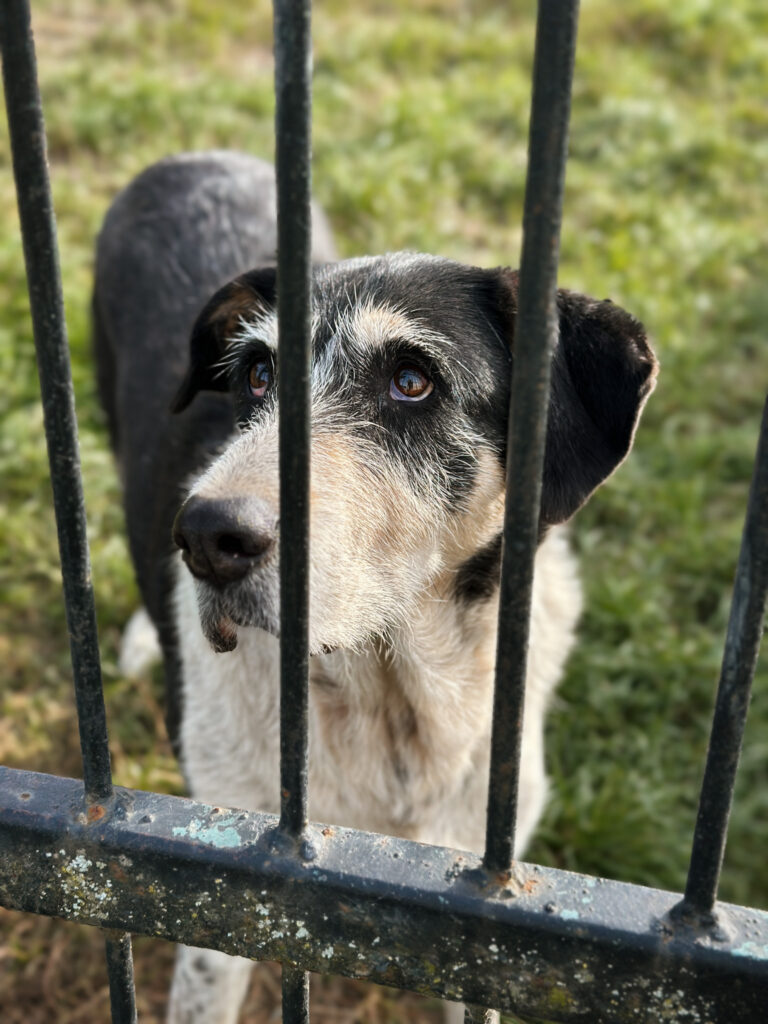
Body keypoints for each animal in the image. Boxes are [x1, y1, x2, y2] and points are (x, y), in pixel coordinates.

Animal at [93, 150, 657, 1024]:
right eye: (257, 375)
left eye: (412, 381)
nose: (206, 540)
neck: (389, 696)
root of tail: (192, 157)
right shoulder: (216, 894)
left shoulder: (490, 920)